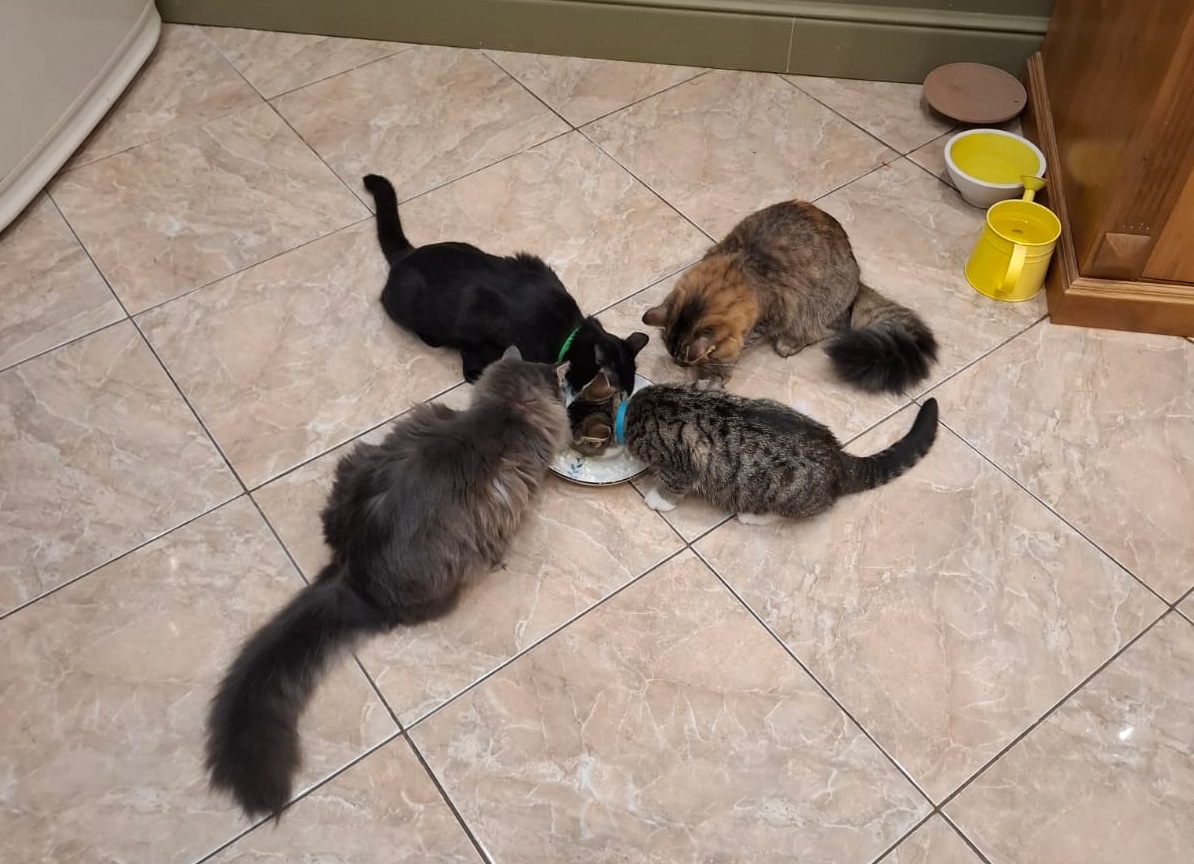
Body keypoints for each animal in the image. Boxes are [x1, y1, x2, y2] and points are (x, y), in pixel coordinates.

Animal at [614, 383, 938, 523]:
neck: (631, 411)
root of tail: (838, 457)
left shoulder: (682, 462)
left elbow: (674, 484)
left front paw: (658, 499)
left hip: (781, 490)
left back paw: (751, 516)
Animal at [641, 200, 938, 394]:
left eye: (687, 361)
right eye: (675, 359)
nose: (677, 364)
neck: (740, 268)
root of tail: (857, 279)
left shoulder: (767, 319)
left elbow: (733, 351)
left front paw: (714, 373)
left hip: (814, 309)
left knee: (833, 327)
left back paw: (790, 343)